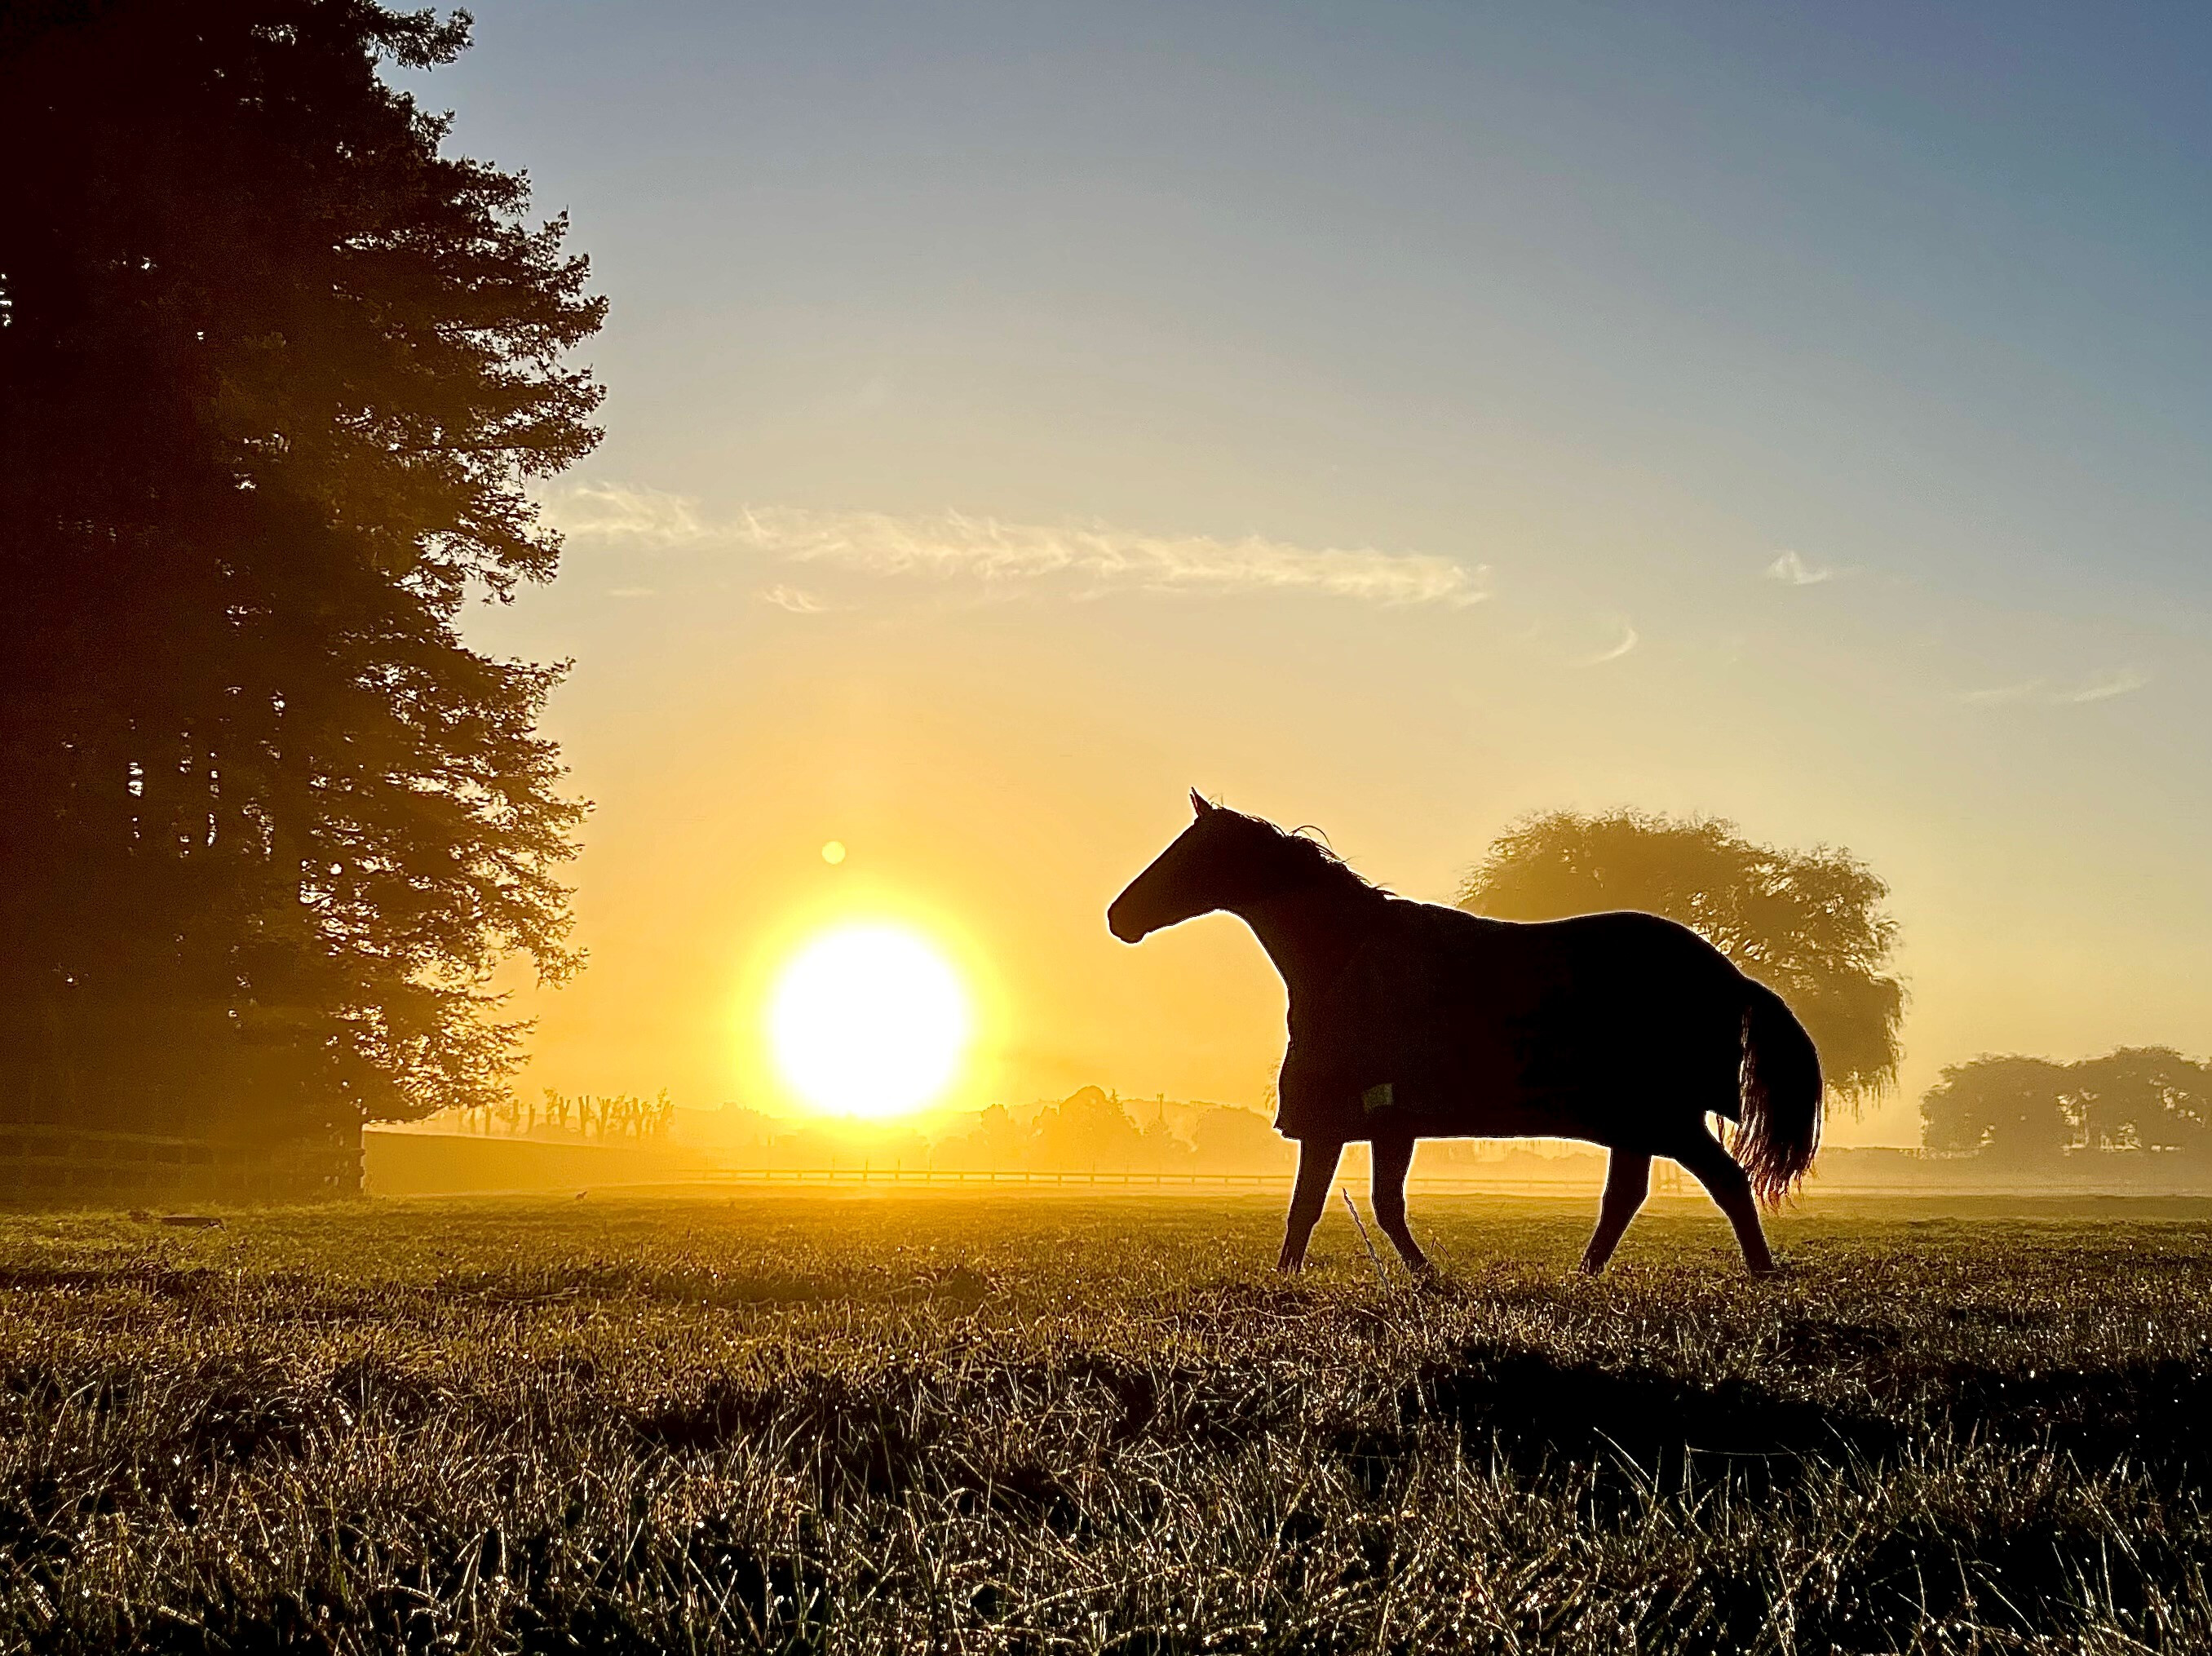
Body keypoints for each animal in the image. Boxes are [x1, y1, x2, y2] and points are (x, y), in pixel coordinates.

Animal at [1101, 795, 1813, 1273]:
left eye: (1190, 853)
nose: (1117, 917)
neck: (1346, 957)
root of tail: (1729, 973)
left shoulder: (1344, 1118)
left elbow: (1326, 1204)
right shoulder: (1384, 1123)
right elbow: (1368, 1204)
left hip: (1664, 1117)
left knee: (1725, 1183)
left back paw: (1760, 1274)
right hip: (1637, 1121)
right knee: (1628, 1197)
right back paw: (1584, 1276)